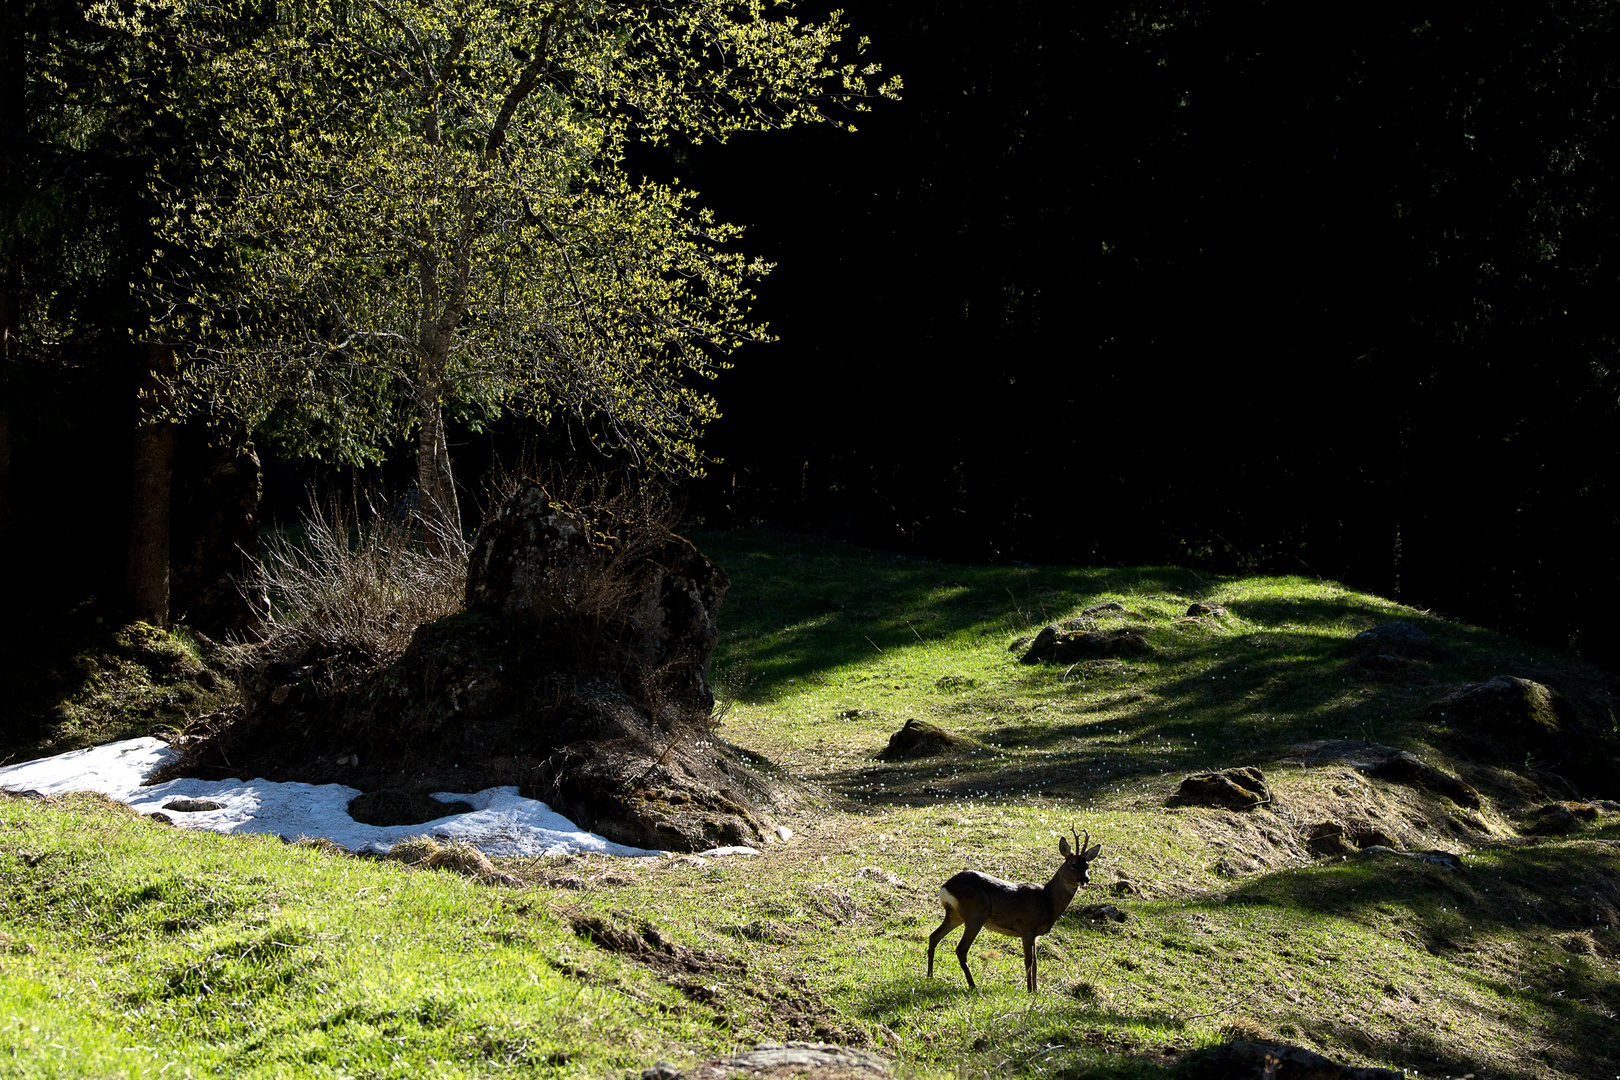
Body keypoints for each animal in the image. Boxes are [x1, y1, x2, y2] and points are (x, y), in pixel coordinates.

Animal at [926, 835, 1101, 990]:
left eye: (1087, 866)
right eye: (1073, 864)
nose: (1086, 879)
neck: (1047, 901)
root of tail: (945, 887)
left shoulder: (1035, 934)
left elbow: (1035, 962)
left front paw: (1036, 990)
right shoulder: (1027, 927)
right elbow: (1029, 961)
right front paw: (1029, 990)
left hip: (955, 916)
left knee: (934, 937)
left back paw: (930, 976)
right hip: (975, 915)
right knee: (961, 949)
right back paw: (973, 986)